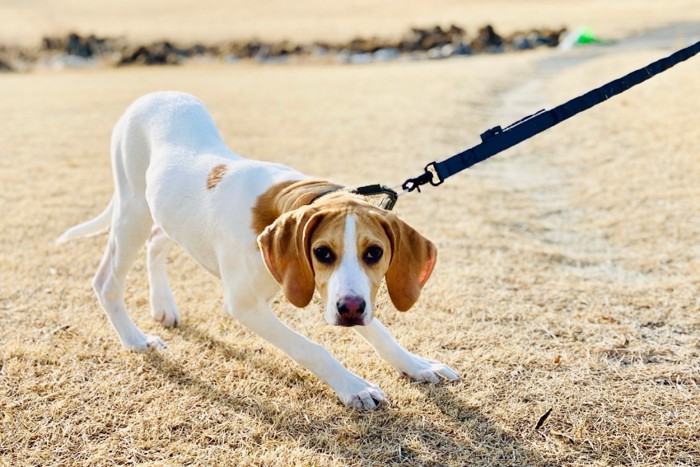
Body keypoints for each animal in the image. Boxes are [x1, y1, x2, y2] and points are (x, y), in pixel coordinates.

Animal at [57, 90, 456, 410]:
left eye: (374, 253)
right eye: (323, 253)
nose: (351, 311)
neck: (286, 201)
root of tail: (150, 96)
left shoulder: (326, 288)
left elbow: (380, 332)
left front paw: (416, 365)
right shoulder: (247, 305)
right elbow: (313, 349)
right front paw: (354, 387)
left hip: (168, 214)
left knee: (157, 242)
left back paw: (163, 308)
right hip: (133, 211)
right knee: (107, 281)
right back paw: (137, 339)